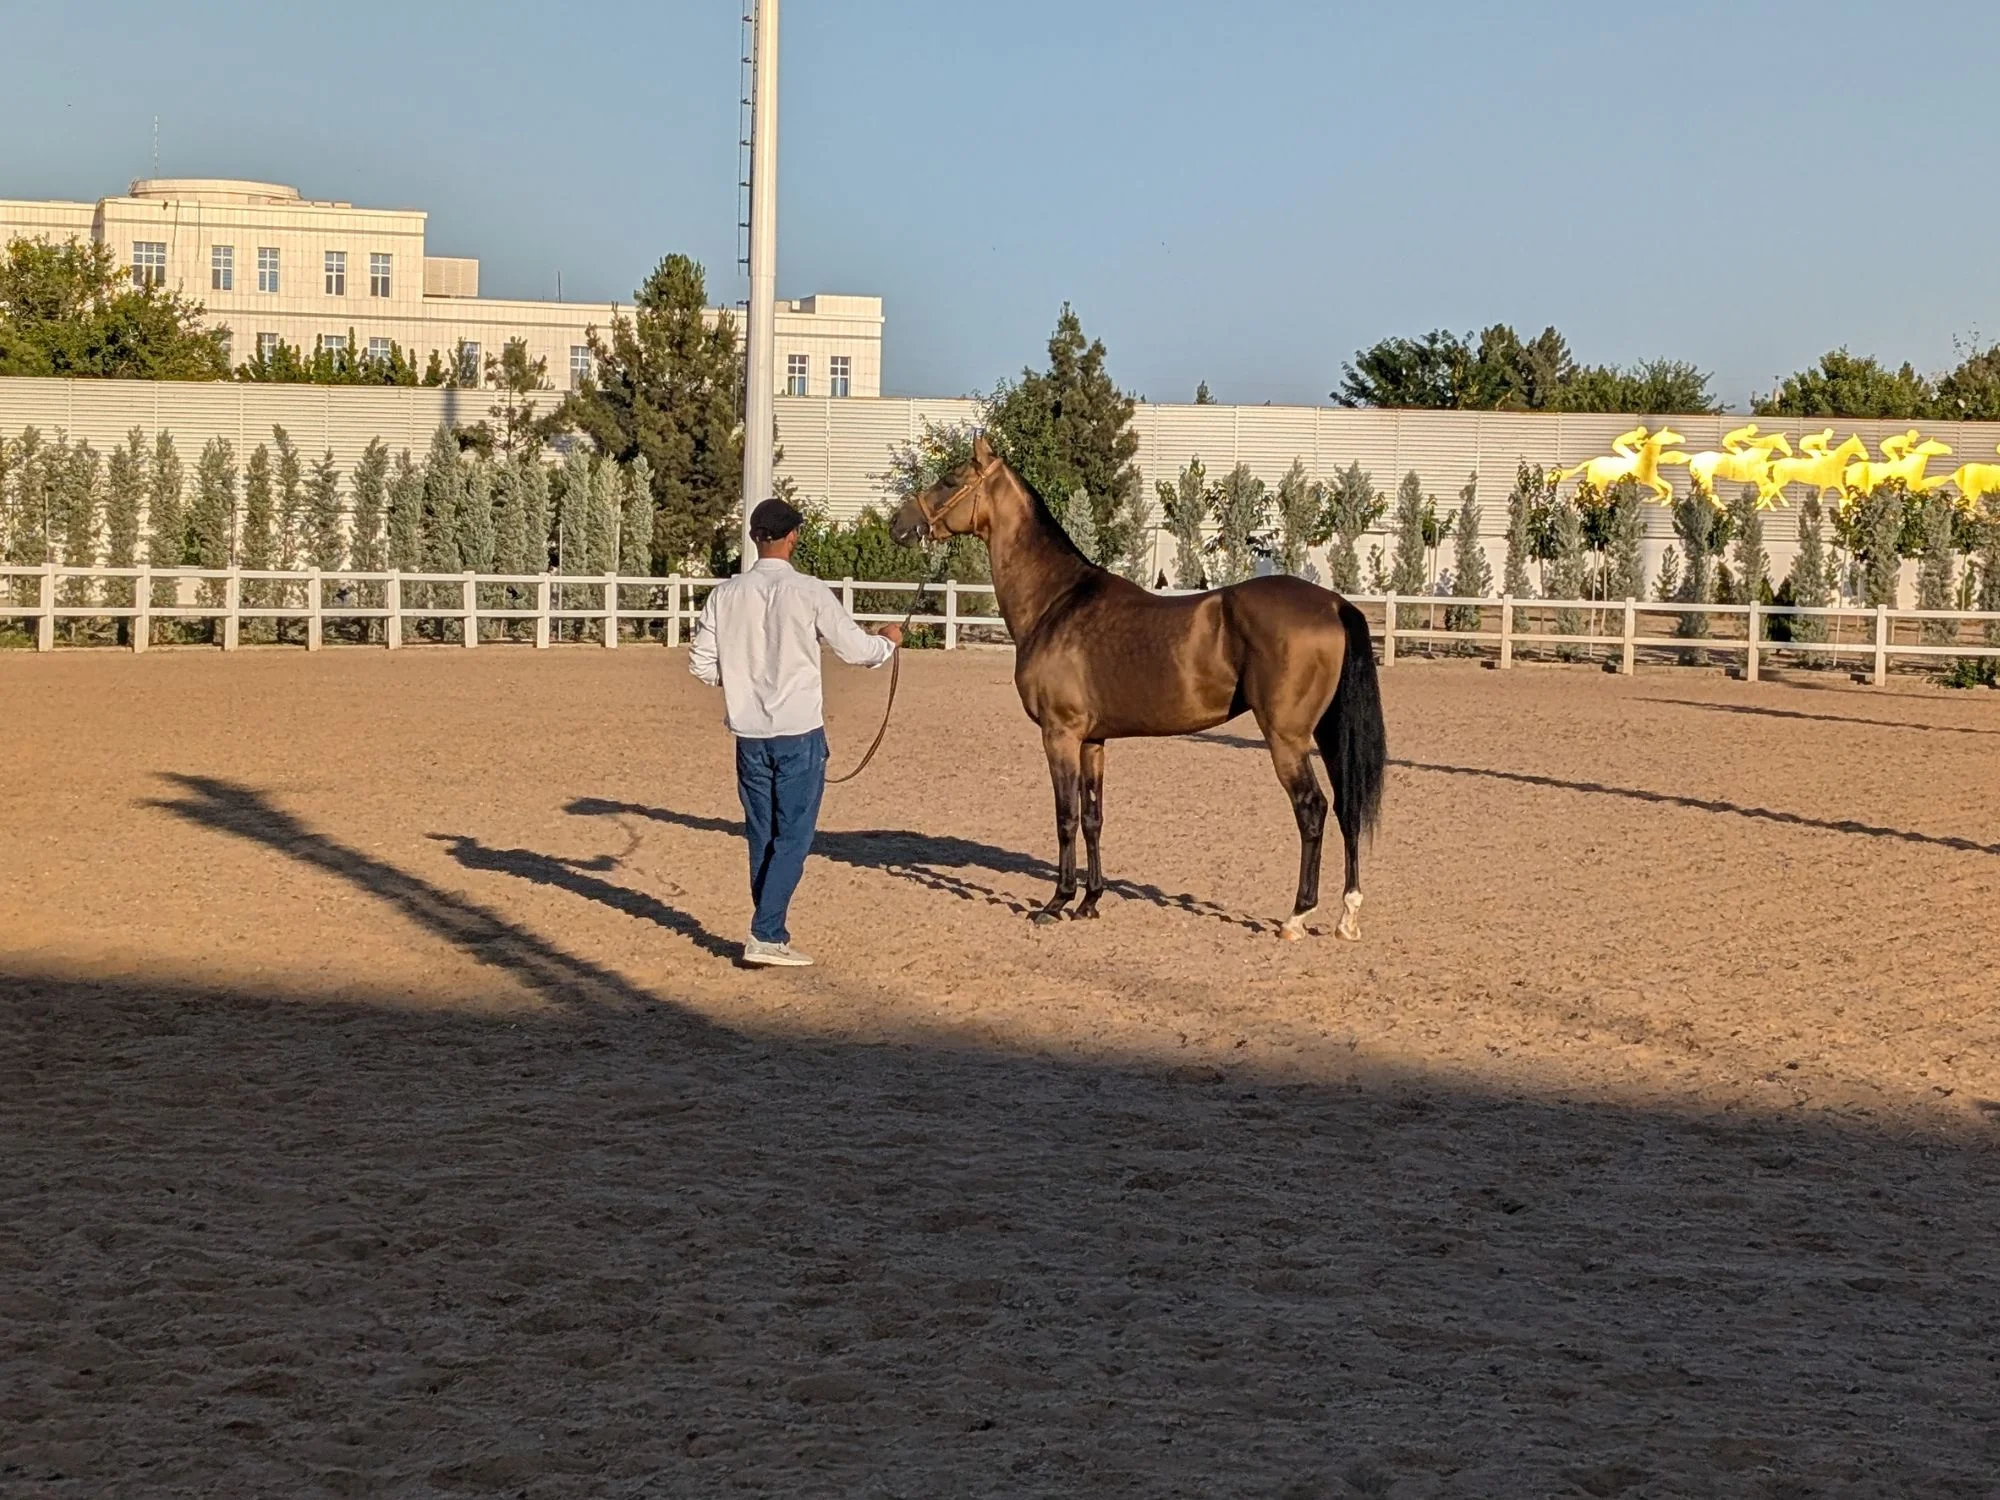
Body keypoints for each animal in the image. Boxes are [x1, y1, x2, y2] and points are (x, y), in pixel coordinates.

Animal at [887, 436, 1387, 942]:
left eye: (949, 479)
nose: (898, 524)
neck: (1056, 601)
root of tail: (1334, 603)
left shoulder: (1059, 735)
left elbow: (1066, 817)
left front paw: (1056, 902)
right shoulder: (1092, 740)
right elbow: (1093, 818)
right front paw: (1090, 902)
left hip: (1286, 738)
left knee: (1312, 809)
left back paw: (1297, 916)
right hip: (1327, 732)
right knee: (1346, 807)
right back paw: (1347, 915)